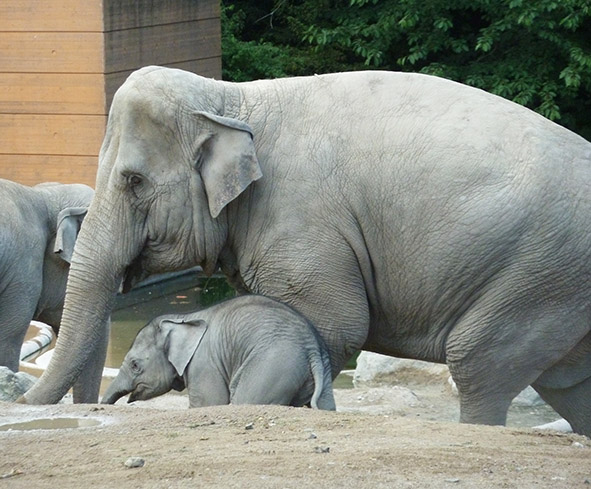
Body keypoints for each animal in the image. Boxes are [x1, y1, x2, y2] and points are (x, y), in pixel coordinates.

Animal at [99, 296, 336, 410]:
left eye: (135, 365)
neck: (184, 317)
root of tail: (310, 347)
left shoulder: (203, 364)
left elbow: (209, 402)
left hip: (274, 364)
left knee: (246, 399)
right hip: (319, 372)